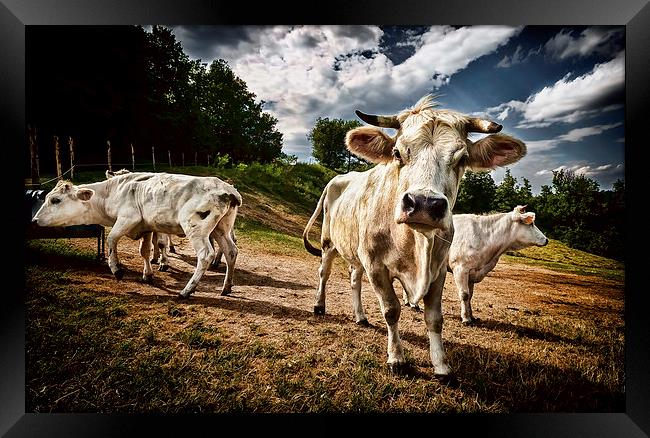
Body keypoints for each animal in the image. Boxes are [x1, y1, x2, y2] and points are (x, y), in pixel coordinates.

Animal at [32, 171, 240, 298]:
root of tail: (227, 189)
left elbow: (111, 240)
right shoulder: (146, 227)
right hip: (221, 229)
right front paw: (147, 274)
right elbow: (145, 251)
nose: (34, 220)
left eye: (55, 200)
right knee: (231, 251)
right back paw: (226, 287)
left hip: (196, 228)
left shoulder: (127, 218)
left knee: (205, 255)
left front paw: (116, 269)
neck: (112, 192)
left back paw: (187, 290)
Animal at [304, 96, 528, 376]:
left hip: (356, 253)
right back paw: (319, 305)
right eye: (397, 153)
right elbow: (391, 310)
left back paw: (361, 317)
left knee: (354, 280)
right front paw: (396, 358)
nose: (423, 204)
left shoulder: (438, 270)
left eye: (462, 158)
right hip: (329, 242)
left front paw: (441, 365)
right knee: (324, 272)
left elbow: (435, 319)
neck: (413, 243)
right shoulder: (376, 266)